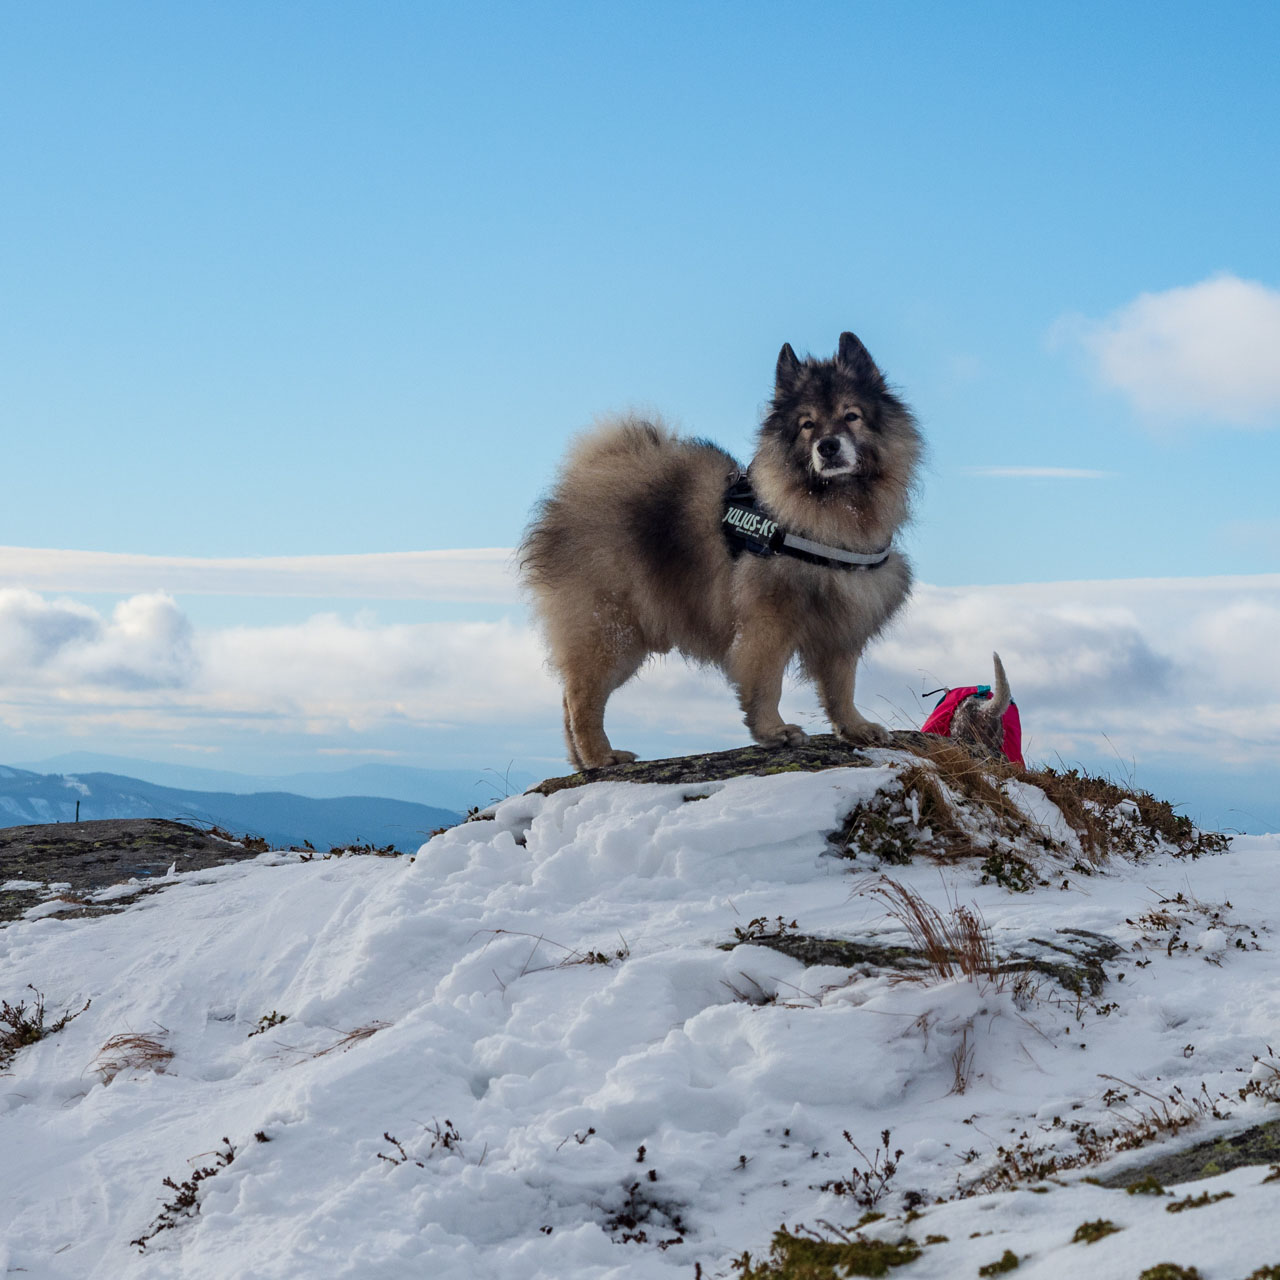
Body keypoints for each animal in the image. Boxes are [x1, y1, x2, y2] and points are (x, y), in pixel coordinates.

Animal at [519, 332, 921, 768]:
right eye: (807, 424)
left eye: (851, 416)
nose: (827, 447)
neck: (832, 510)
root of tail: (578, 487)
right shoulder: (767, 620)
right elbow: (766, 681)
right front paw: (774, 731)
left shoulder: (842, 621)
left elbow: (841, 686)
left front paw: (854, 726)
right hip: (612, 630)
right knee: (582, 696)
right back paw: (599, 756)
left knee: (567, 699)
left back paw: (582, 762)